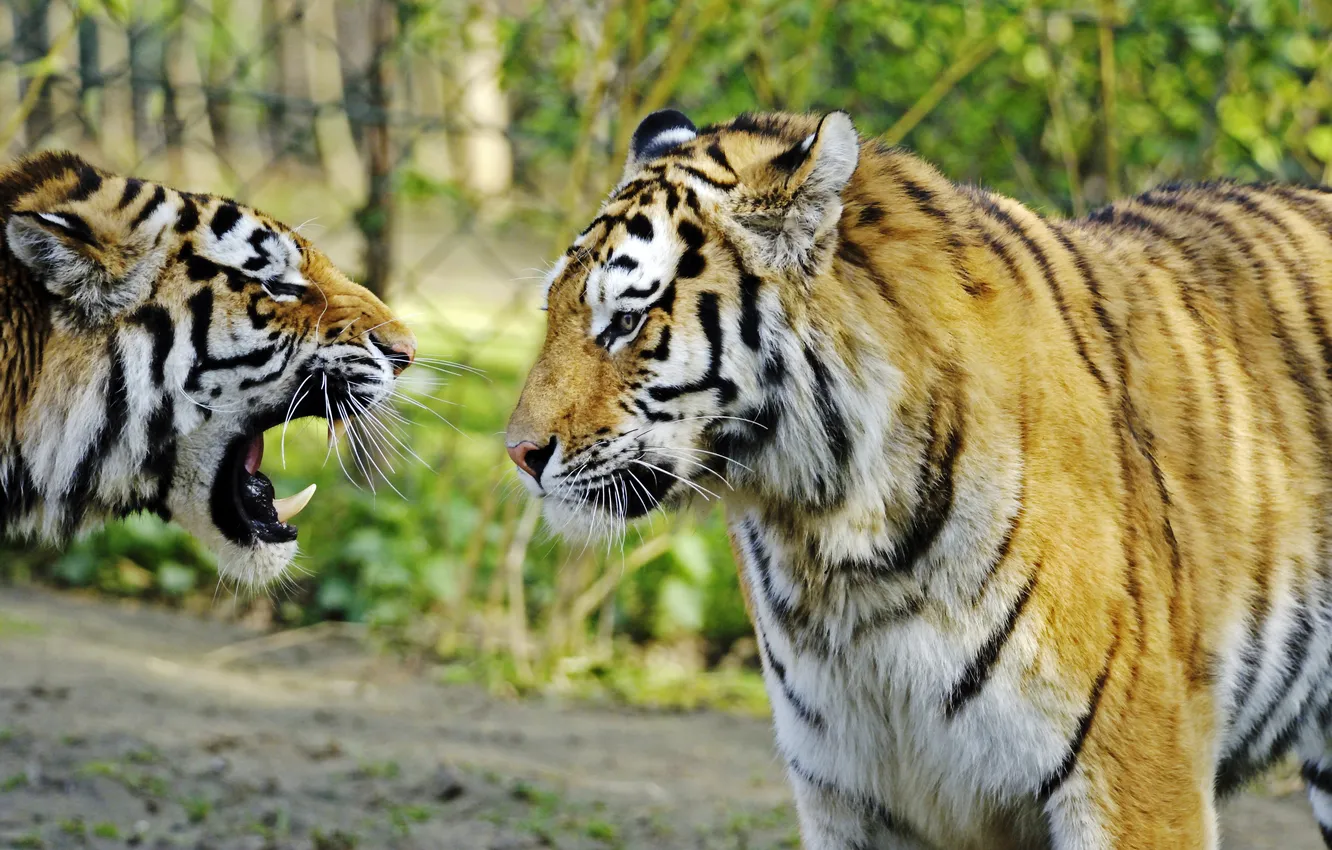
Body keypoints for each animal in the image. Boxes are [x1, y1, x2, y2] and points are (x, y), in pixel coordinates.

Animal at [505, 107, 1332, 849]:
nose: (518, 453)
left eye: (625, 322)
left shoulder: (1133, 773)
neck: (839, 549)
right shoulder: (852, 794)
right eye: (552, 310)